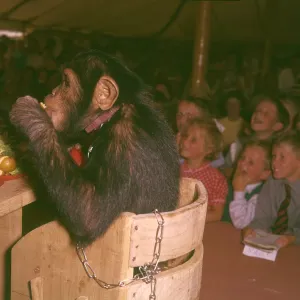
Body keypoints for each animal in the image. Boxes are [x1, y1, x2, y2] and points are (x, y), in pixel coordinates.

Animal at [9, 50, 179, 245]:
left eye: (66, 83)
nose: (52, 92)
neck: (107, 118)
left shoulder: (124, 142)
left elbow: (90, 212)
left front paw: (31, 116)